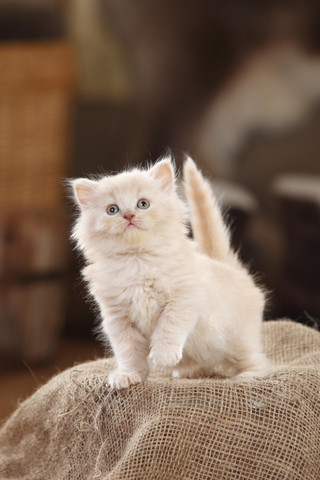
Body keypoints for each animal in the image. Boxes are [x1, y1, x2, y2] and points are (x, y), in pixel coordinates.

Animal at [71, 156, 268, 388]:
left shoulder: (184, 297)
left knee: (259, 362)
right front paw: (128, 375)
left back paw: (248, 376)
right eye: (112, 210)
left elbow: (169, 325)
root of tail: (227, 266)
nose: (129, 215)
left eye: (143, 204)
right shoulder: (117, 317)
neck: (138, 261)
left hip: (240, 339)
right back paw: (189, 372)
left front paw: (163, 356)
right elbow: (128, 351)